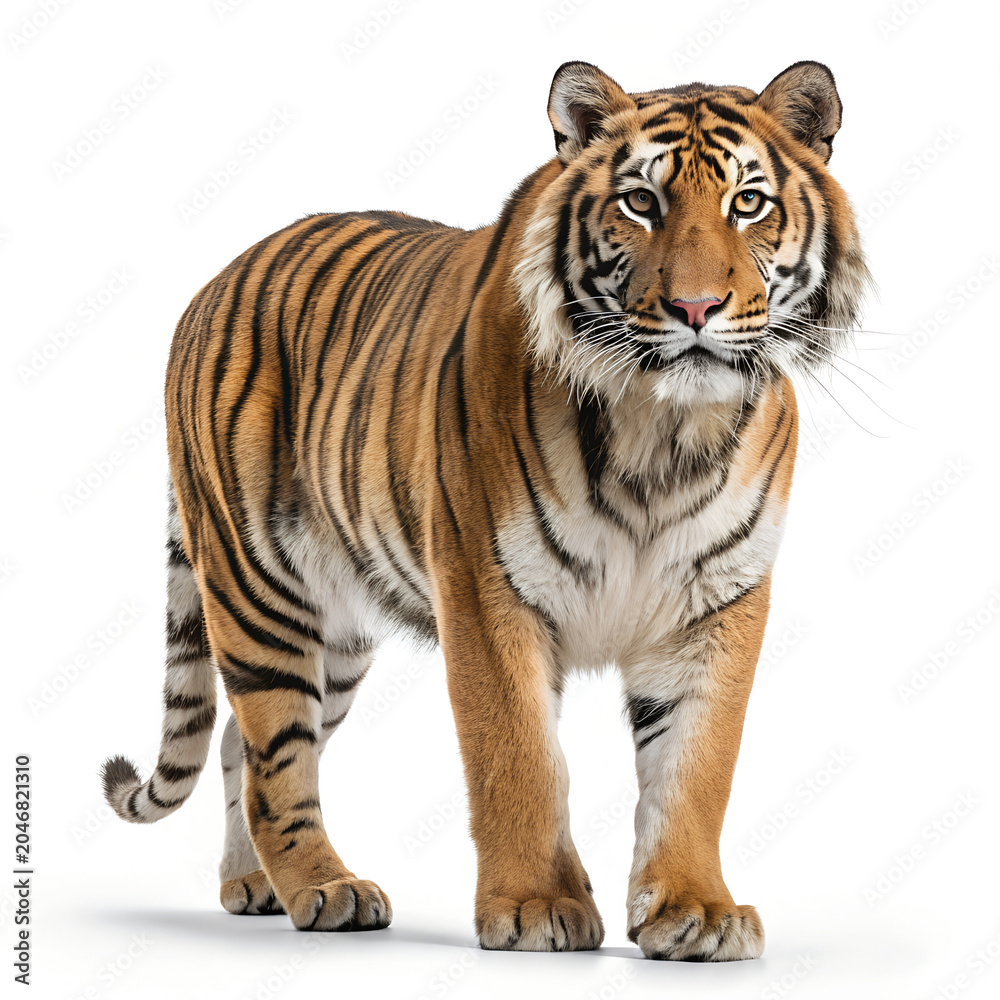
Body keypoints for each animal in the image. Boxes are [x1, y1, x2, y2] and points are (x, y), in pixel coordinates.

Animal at [101, 59, 870, 961]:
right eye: (640, 202)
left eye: (748, 203)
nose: (695, 309)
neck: (665, 429)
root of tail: (212, 281)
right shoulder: (485, 585)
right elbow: (518, 756)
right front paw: (536, 906)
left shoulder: (717, 602)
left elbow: (696, 766)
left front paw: (696, 913)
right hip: (260, 588)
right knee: (275, 757)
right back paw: (324, 888)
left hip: (341, 631)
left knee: (239, 743)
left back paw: (252, 885)